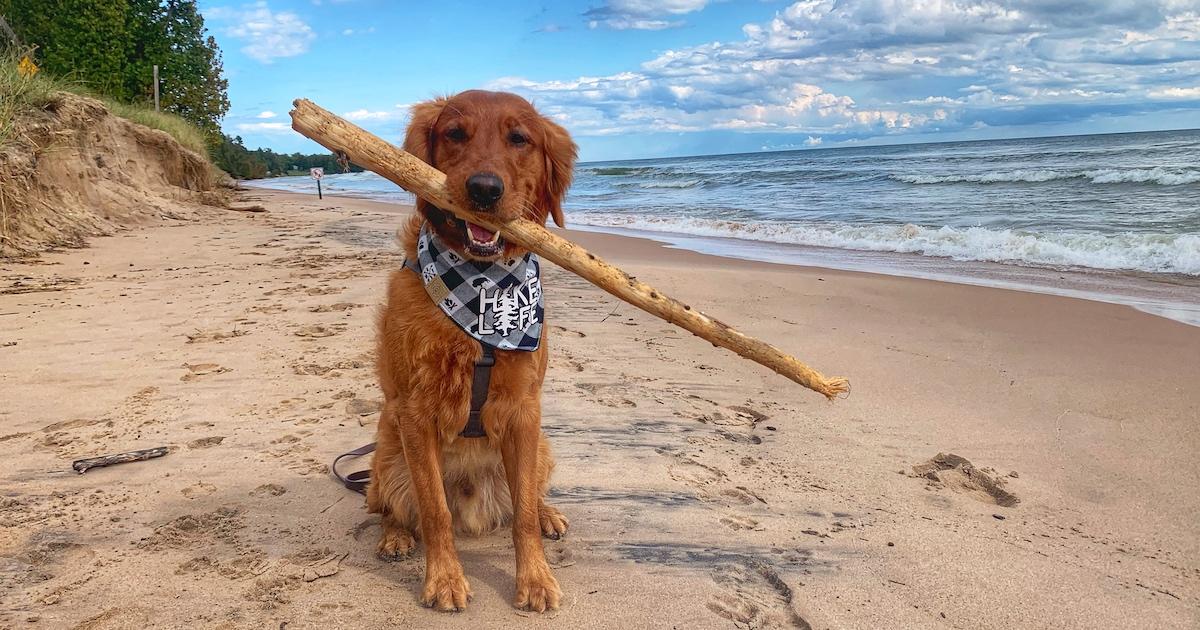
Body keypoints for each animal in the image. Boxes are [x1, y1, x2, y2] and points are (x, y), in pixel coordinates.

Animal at [367, 90, 578, 612]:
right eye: (455, 134)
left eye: (519, 139)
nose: (484, 189)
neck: (481, 291)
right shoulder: (415, 414)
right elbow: (434, 511)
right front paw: (444, 580)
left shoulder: (524, 411)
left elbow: (522, 515)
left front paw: (536, 579)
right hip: (386, 460)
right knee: (392, 508)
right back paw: (394, 537)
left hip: (541, 447)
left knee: (529, 498)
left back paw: (549, 513)